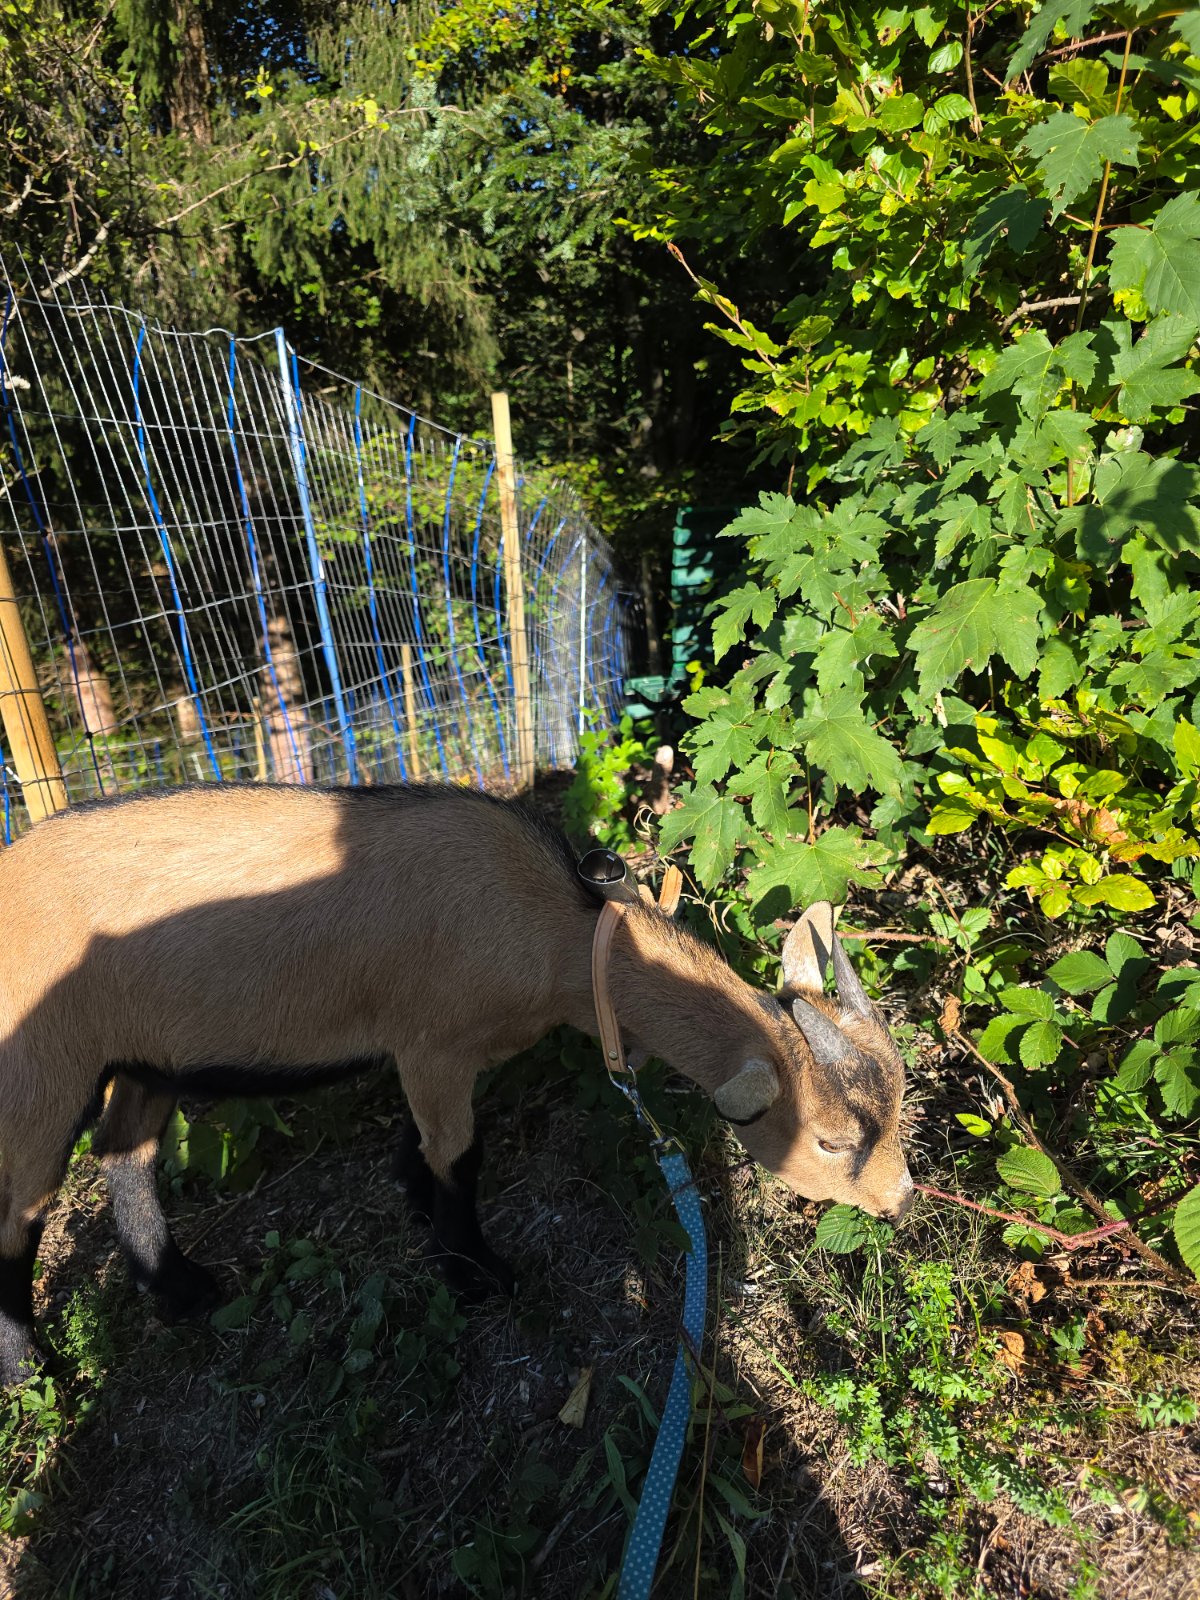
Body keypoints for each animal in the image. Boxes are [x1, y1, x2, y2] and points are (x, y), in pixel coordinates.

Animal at [0, 783, 912, 1383]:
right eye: (830, 1139)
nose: (900, 1200)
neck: (566, 932)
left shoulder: (446, 1051)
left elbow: (428, 1144)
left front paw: (416, 1205)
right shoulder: (431, 1042)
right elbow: (460, 1157)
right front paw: (476, 1274)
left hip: (144, 1057)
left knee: (125, 1155)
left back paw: (182, 1291)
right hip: (41, 1064)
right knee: (21, 1206)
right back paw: (29, 1369)